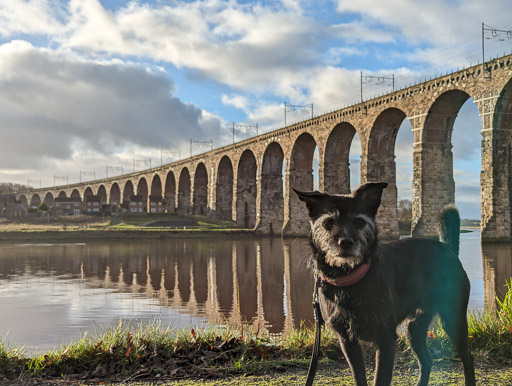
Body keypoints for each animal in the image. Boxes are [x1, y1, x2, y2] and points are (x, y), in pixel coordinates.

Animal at [294, 182, 478, 384]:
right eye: (328, 223)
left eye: (359, 222)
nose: (346, 242)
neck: (351, 279)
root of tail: (448, 249)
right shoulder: (347, 341)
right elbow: (359, 377)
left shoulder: (386, 340)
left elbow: (380, 379)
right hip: (413, 329)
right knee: (427, 361)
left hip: (453, 320)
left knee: (468, 359)